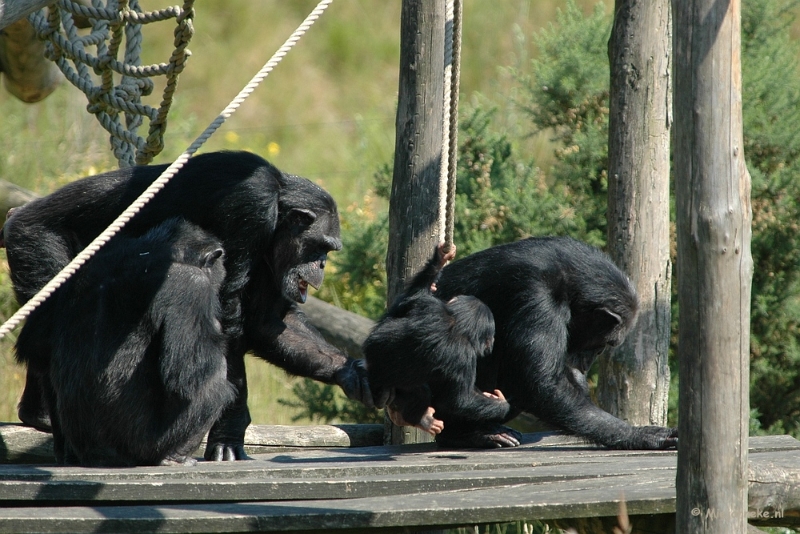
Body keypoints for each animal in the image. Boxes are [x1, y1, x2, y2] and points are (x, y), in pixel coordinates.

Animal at [15, 220, 234, 466]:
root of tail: (100, 457)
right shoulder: (191, 284)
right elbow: (189, 376)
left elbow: (38, 349)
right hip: (144, 445)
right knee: (213, 379)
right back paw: (174, 457)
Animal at [364, 246, 520, 448]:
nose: (491, 343)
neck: (455, 320)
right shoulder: (464, 356)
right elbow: (460, 400)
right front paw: (503, 403)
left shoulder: (427, 305)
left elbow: (409, 299)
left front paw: (439, 260)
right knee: (423, 392)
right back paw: (422, 419)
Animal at [434, 239, 680, 452]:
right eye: (605, 344)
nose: (588, 361)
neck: (570, 283)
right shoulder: (538, 296)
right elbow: (541, 383)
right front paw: (640, 434)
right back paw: (469, 433)